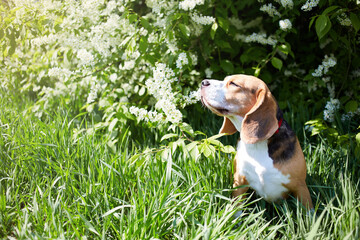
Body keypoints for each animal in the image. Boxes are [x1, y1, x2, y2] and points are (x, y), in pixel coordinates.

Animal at [201, 74, 314, 209]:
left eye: (234, 84)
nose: (203, 82)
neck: (256, 145)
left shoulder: (300, 187)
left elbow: (308, 212)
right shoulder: (239, 183)